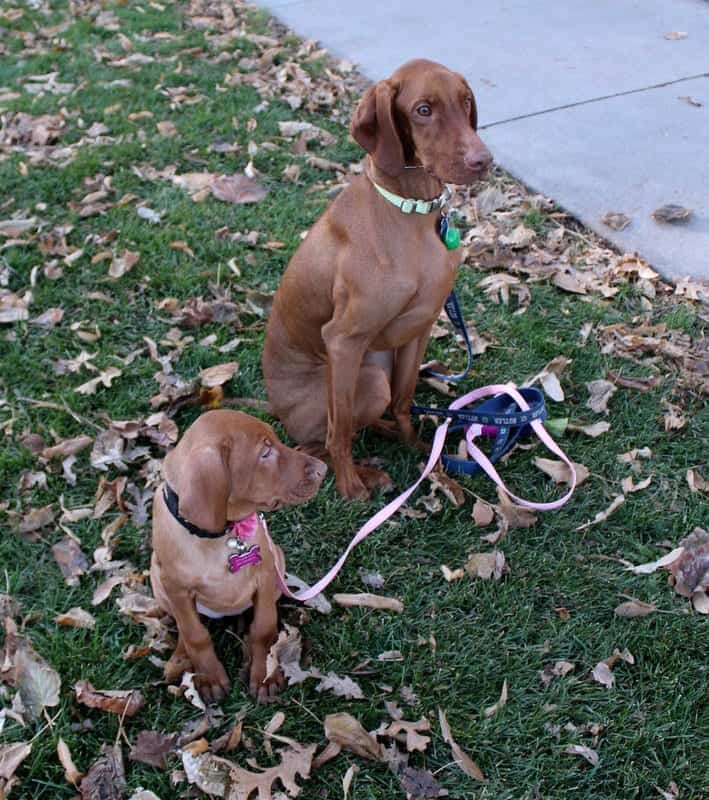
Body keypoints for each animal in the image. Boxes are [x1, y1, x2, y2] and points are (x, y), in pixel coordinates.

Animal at [151, 410, 326, 704]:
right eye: (265, 453)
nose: (323, 469)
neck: (220, 536)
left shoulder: (266, 573)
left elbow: (264, 627)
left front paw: (264, 674)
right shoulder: (176, 587)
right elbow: (194, 633)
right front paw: (209, 677)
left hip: (278, 559)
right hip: (157, 579)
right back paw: (179, 658)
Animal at [262, 59, 490, 500]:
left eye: (467, 101)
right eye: (423, 110)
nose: (482, 161)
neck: (412, 212)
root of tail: (274, 408)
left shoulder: (419, 327)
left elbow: (403, 400)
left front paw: (418, 447)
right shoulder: (342, 339)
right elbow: (339, 432)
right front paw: (350, 486)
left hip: (379, 363)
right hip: (365, 378)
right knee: (319, 442)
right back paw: (362, 472)